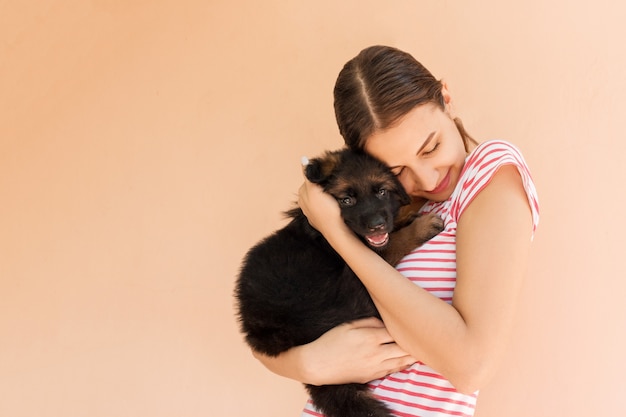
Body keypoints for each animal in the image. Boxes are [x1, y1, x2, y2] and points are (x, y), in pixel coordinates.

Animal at [234, 150, 444, 416]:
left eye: (382, 192)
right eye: (346, 200)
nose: (377, 225)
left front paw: (405, 215)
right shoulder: (362, 262)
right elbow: (392, 243)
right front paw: (419, 225)